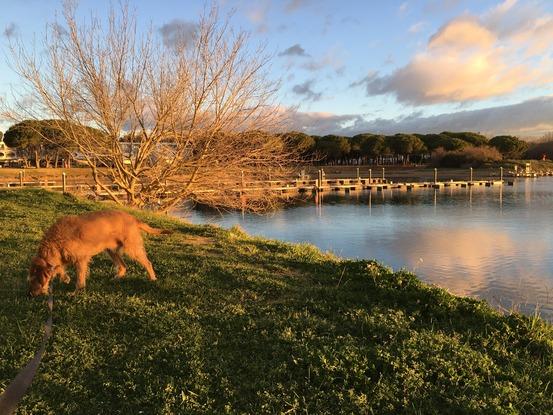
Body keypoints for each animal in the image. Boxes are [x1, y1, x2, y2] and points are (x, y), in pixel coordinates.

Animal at [28, 211, 169, 296]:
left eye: (36, 279)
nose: (31, 294)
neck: (55, 241)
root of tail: (133, 218)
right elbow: (60, 269)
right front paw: (66, 278)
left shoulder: (81, 260)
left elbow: (80, 278)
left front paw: (76, 292)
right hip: (111, 250)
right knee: (123, 266)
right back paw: (116, 278)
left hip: (132, 248)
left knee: (147, 263)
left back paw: (152, 278)